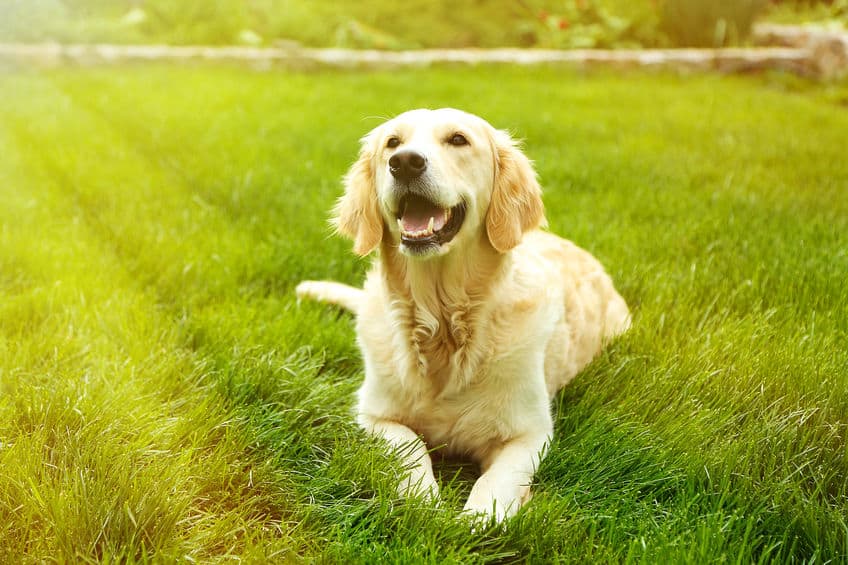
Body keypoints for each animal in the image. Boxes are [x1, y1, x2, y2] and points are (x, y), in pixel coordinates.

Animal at [298, 108, 628, 524]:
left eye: (458, 139)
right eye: (392, 142)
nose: (404, 162)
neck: (443, 323)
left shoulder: (530, 433)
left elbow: (495, 484)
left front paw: (474, 521)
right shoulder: (374, 415)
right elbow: (410, 449)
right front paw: (425, 503)